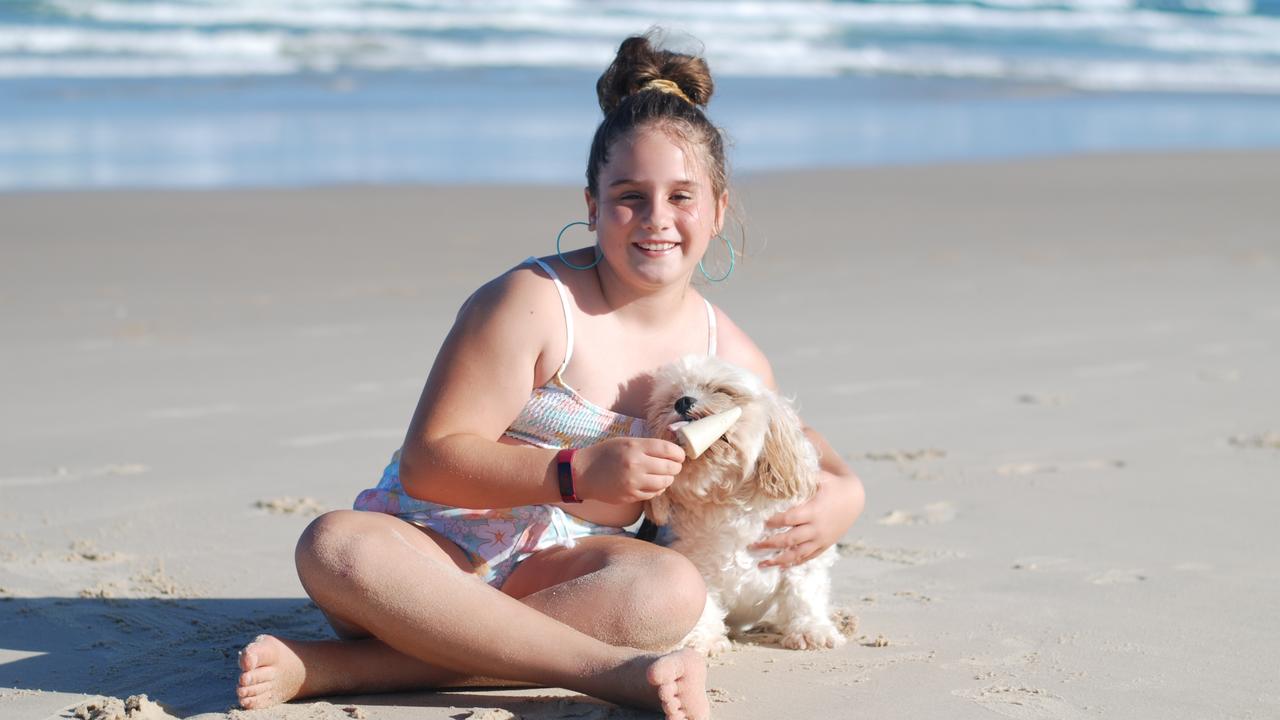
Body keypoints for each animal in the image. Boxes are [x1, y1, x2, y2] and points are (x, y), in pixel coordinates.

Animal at [645, 356, 844, 653]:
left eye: (722, 390)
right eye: (670, 398)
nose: (682, 401)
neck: (727, 498)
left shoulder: (799, 555)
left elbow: (804, 594)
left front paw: (811, 630)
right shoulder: (697, 565)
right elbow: (703, 604)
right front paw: (701, 639)